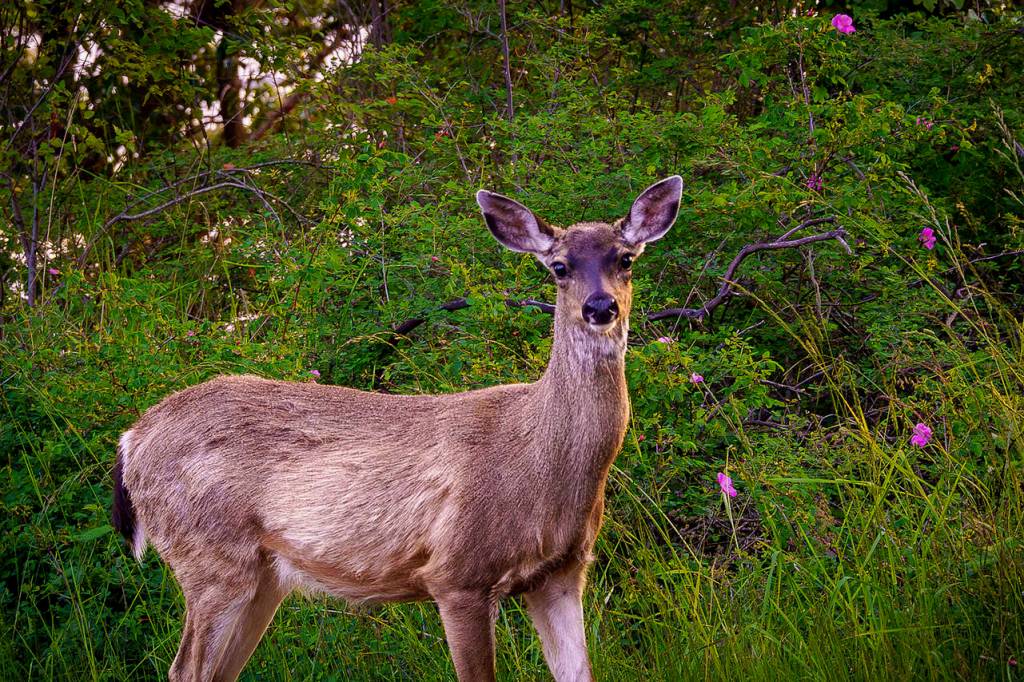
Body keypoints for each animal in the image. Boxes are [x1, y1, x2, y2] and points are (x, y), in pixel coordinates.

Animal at [112, 175, 683, 681]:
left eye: (625, 259)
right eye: (559, 267)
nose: (600, 307)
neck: (542, 458)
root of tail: (132, 438)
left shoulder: (562, 574)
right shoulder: (458, 574)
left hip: (262, 577)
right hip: (210, 554)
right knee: (185, 669)